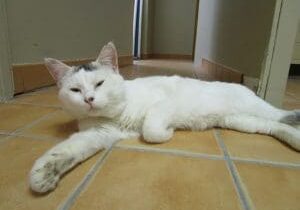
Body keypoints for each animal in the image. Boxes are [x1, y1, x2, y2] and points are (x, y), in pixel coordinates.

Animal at [29, 41, 298, 194]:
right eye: (75, 90)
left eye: (99, 83)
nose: (89, 99)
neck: (119, 113)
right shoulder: (96, 134)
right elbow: (65, 151)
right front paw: (42, 175)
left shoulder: (165, 104)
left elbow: (150, 129)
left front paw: (166, 133)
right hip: (244, 122)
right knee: (277, 125)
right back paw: (295, 139)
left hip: (255, 110)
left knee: (284, 115)